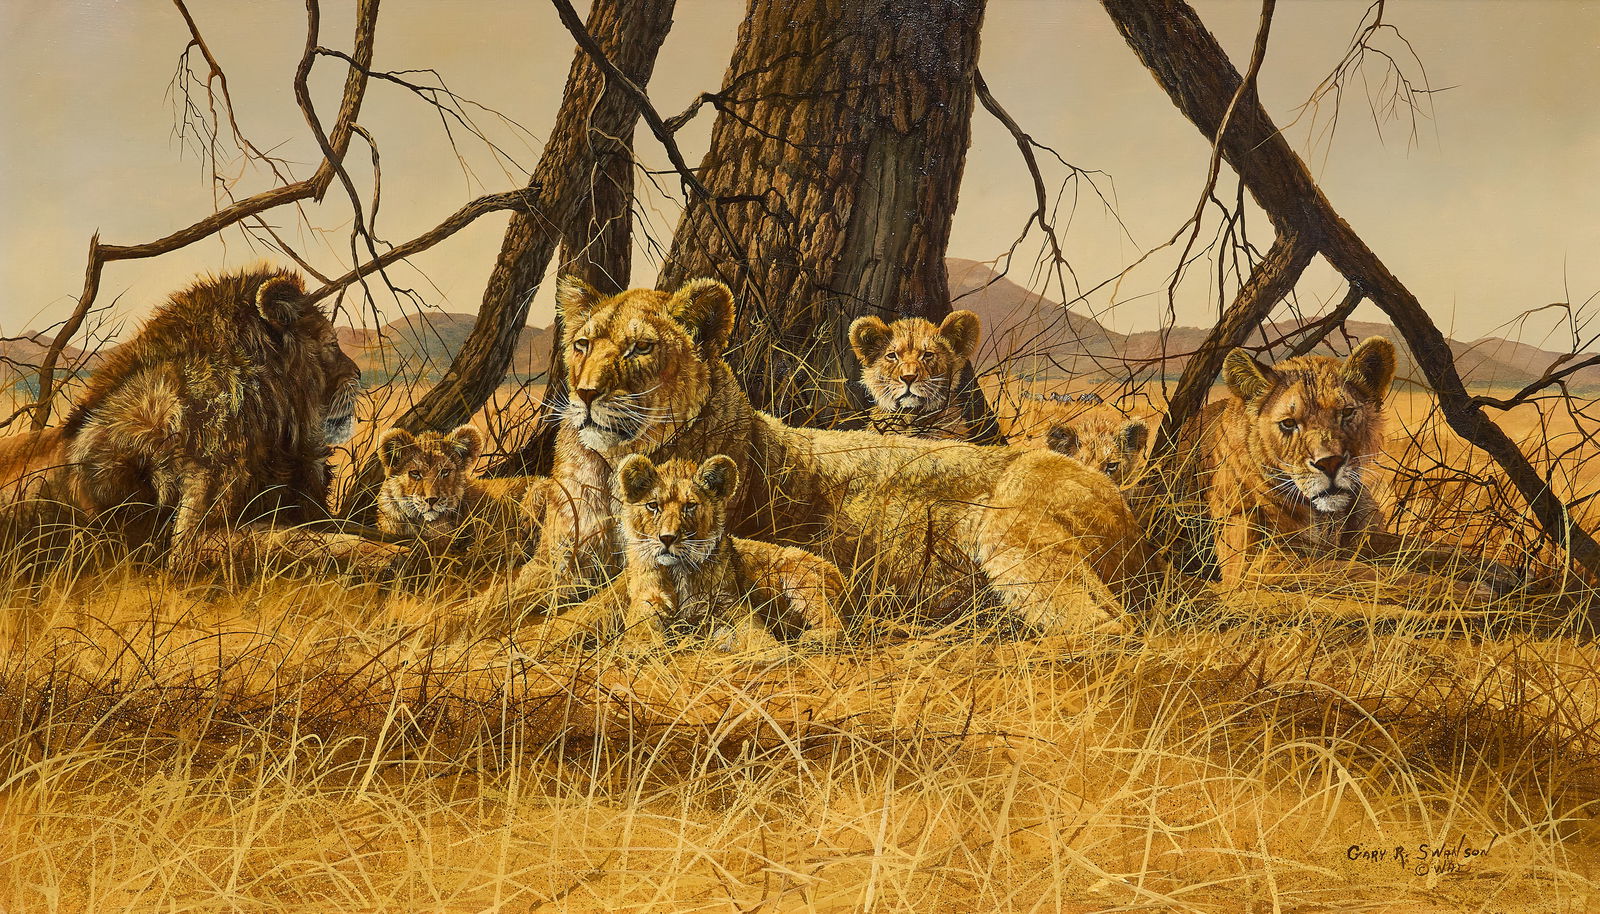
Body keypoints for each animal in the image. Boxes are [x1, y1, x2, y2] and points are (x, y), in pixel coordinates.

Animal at [609, 452, 845, 650]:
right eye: (653, 506)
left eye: (690, 506)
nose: (667, 538)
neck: (679, 571)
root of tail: (840, 576)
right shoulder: (647, 598)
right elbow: (642, 624)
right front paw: (639, 645)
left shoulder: (731, 602)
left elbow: (751, 627)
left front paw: (768, 649)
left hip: (801, 580)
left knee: (837, 624)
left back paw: (811, 638)